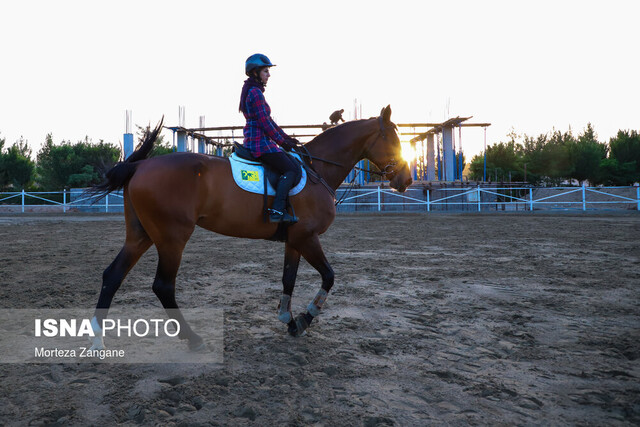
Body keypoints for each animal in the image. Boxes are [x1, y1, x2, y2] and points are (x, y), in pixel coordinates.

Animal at [87, 104, 412, 352]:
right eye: (393, 140)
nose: (406, 180)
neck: (315, 170)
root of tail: (140, 166)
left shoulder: (295, 240)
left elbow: (288, 279)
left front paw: (289, 320)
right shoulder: (308, 238)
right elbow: (329, 276)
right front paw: (306, 317)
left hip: (141, 235)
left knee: (112, 275)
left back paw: (98, 339)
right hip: (172, 238)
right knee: (163, 286)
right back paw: (193, 339)